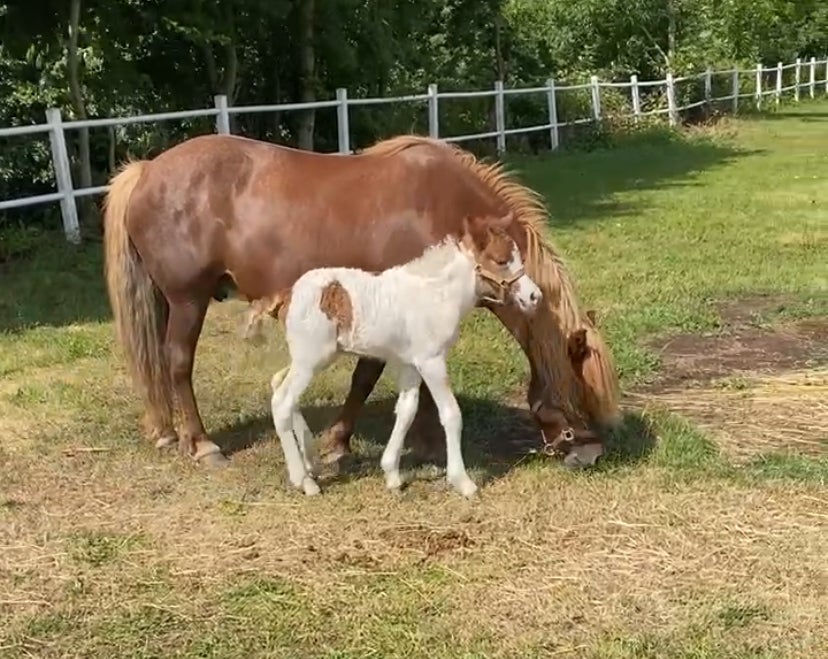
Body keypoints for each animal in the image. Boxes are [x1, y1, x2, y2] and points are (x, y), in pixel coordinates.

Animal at [103, 133, 616, 470]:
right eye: (579, 391)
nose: (591, 453)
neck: (443, 211)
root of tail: (147, 170)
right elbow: (367, 378)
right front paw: (348, 443)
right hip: (188, 299)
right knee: (177, 362)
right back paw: (202, 444)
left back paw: (167, 432)